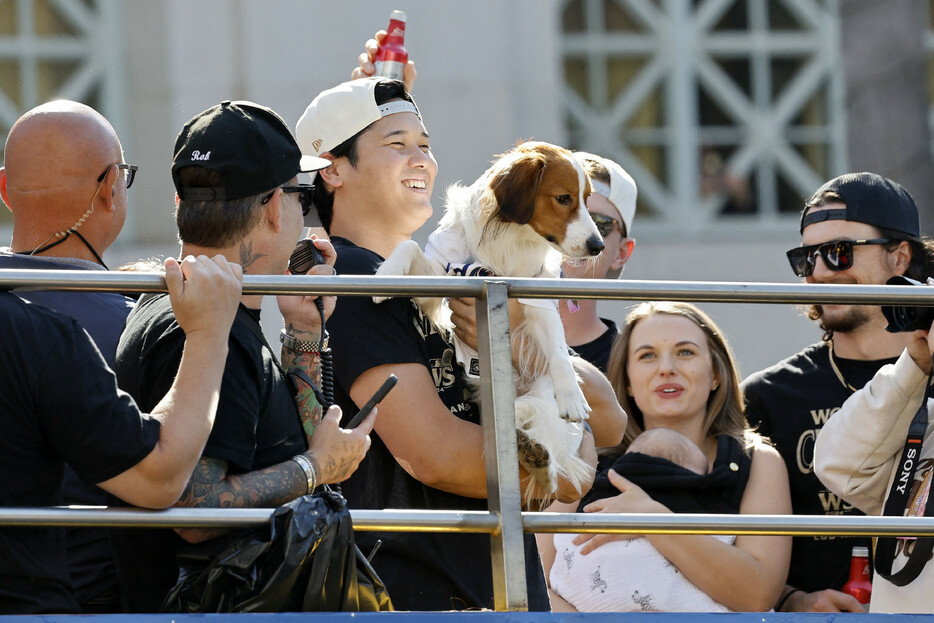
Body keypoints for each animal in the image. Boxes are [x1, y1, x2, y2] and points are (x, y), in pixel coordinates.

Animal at [374, 143, 608, 508]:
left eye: (587, 198)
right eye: (564, 198)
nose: (598, 247)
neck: (512, 235)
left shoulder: (539, 299)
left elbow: (558, 350)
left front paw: (572, 396)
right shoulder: (439, 284)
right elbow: (408, 245)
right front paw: (387, 272)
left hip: (542, 395)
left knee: (549, 453)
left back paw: (536, 456)